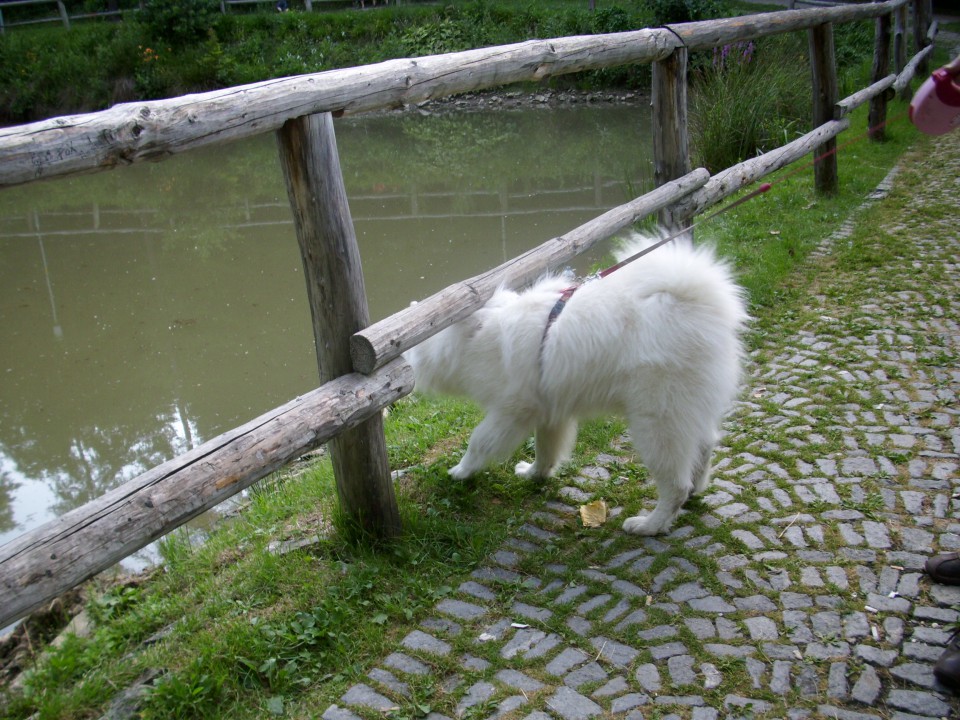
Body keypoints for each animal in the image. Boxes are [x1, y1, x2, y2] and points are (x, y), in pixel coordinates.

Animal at [404, 231, 752, 536]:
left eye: (417, 345)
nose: (406, 363)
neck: (477, 336)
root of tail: (696, 303)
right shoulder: (548, 411)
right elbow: (546, 450)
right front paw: (534, 474)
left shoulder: (511, 410)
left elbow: (479, 441)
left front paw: (460, 472)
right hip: (690, 409)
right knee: (704, 448)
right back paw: (695, 491)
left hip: (657, 422)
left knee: (675, 483)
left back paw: (649, 525)